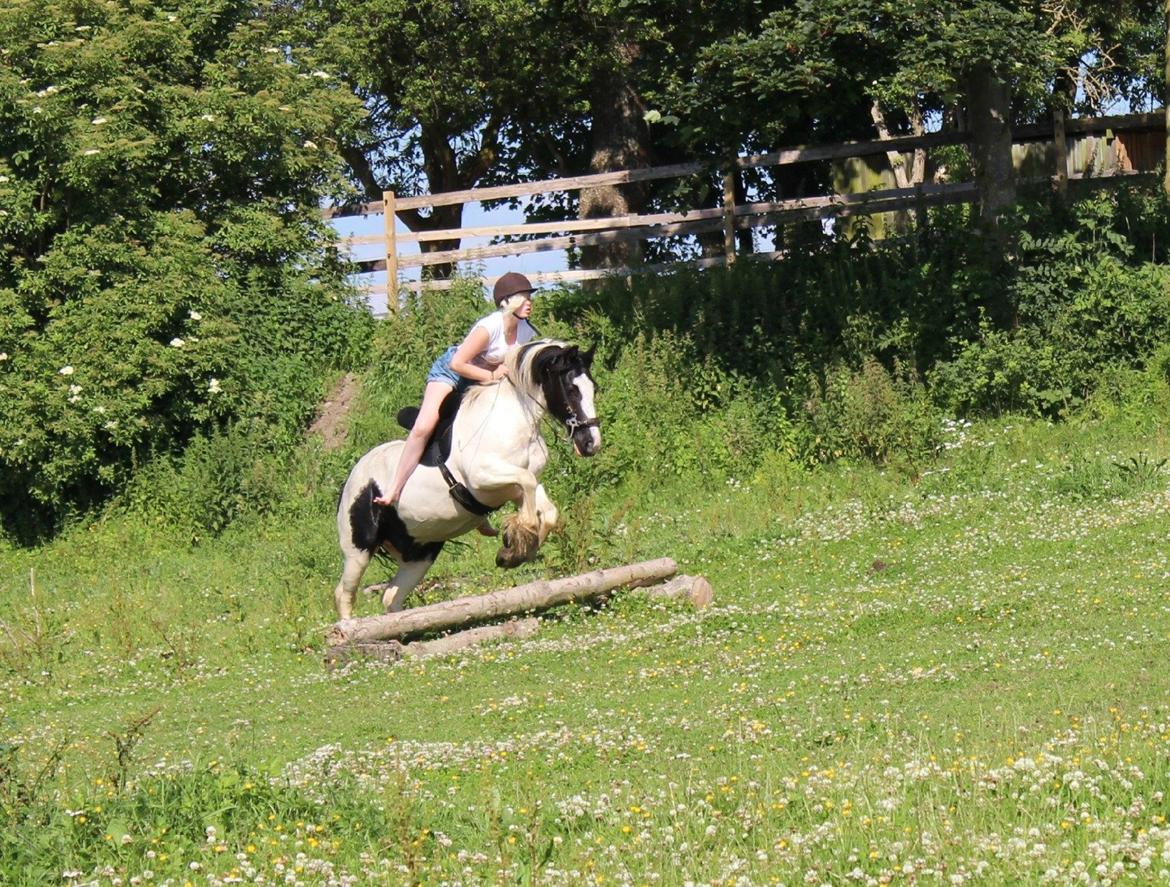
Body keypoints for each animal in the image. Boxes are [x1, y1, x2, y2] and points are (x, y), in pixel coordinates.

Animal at [332, 339, 599, 617]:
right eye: (572, 389)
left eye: (594, 389)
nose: (591, 444)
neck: (512, 420)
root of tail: (349, 480)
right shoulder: (483, 477)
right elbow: (526, 485)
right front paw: (515, 540)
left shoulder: (514, 488)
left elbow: (546, 510)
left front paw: (514, 552)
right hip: (358, 549)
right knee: (344, 595)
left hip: (421, 553)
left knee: (391, 597)